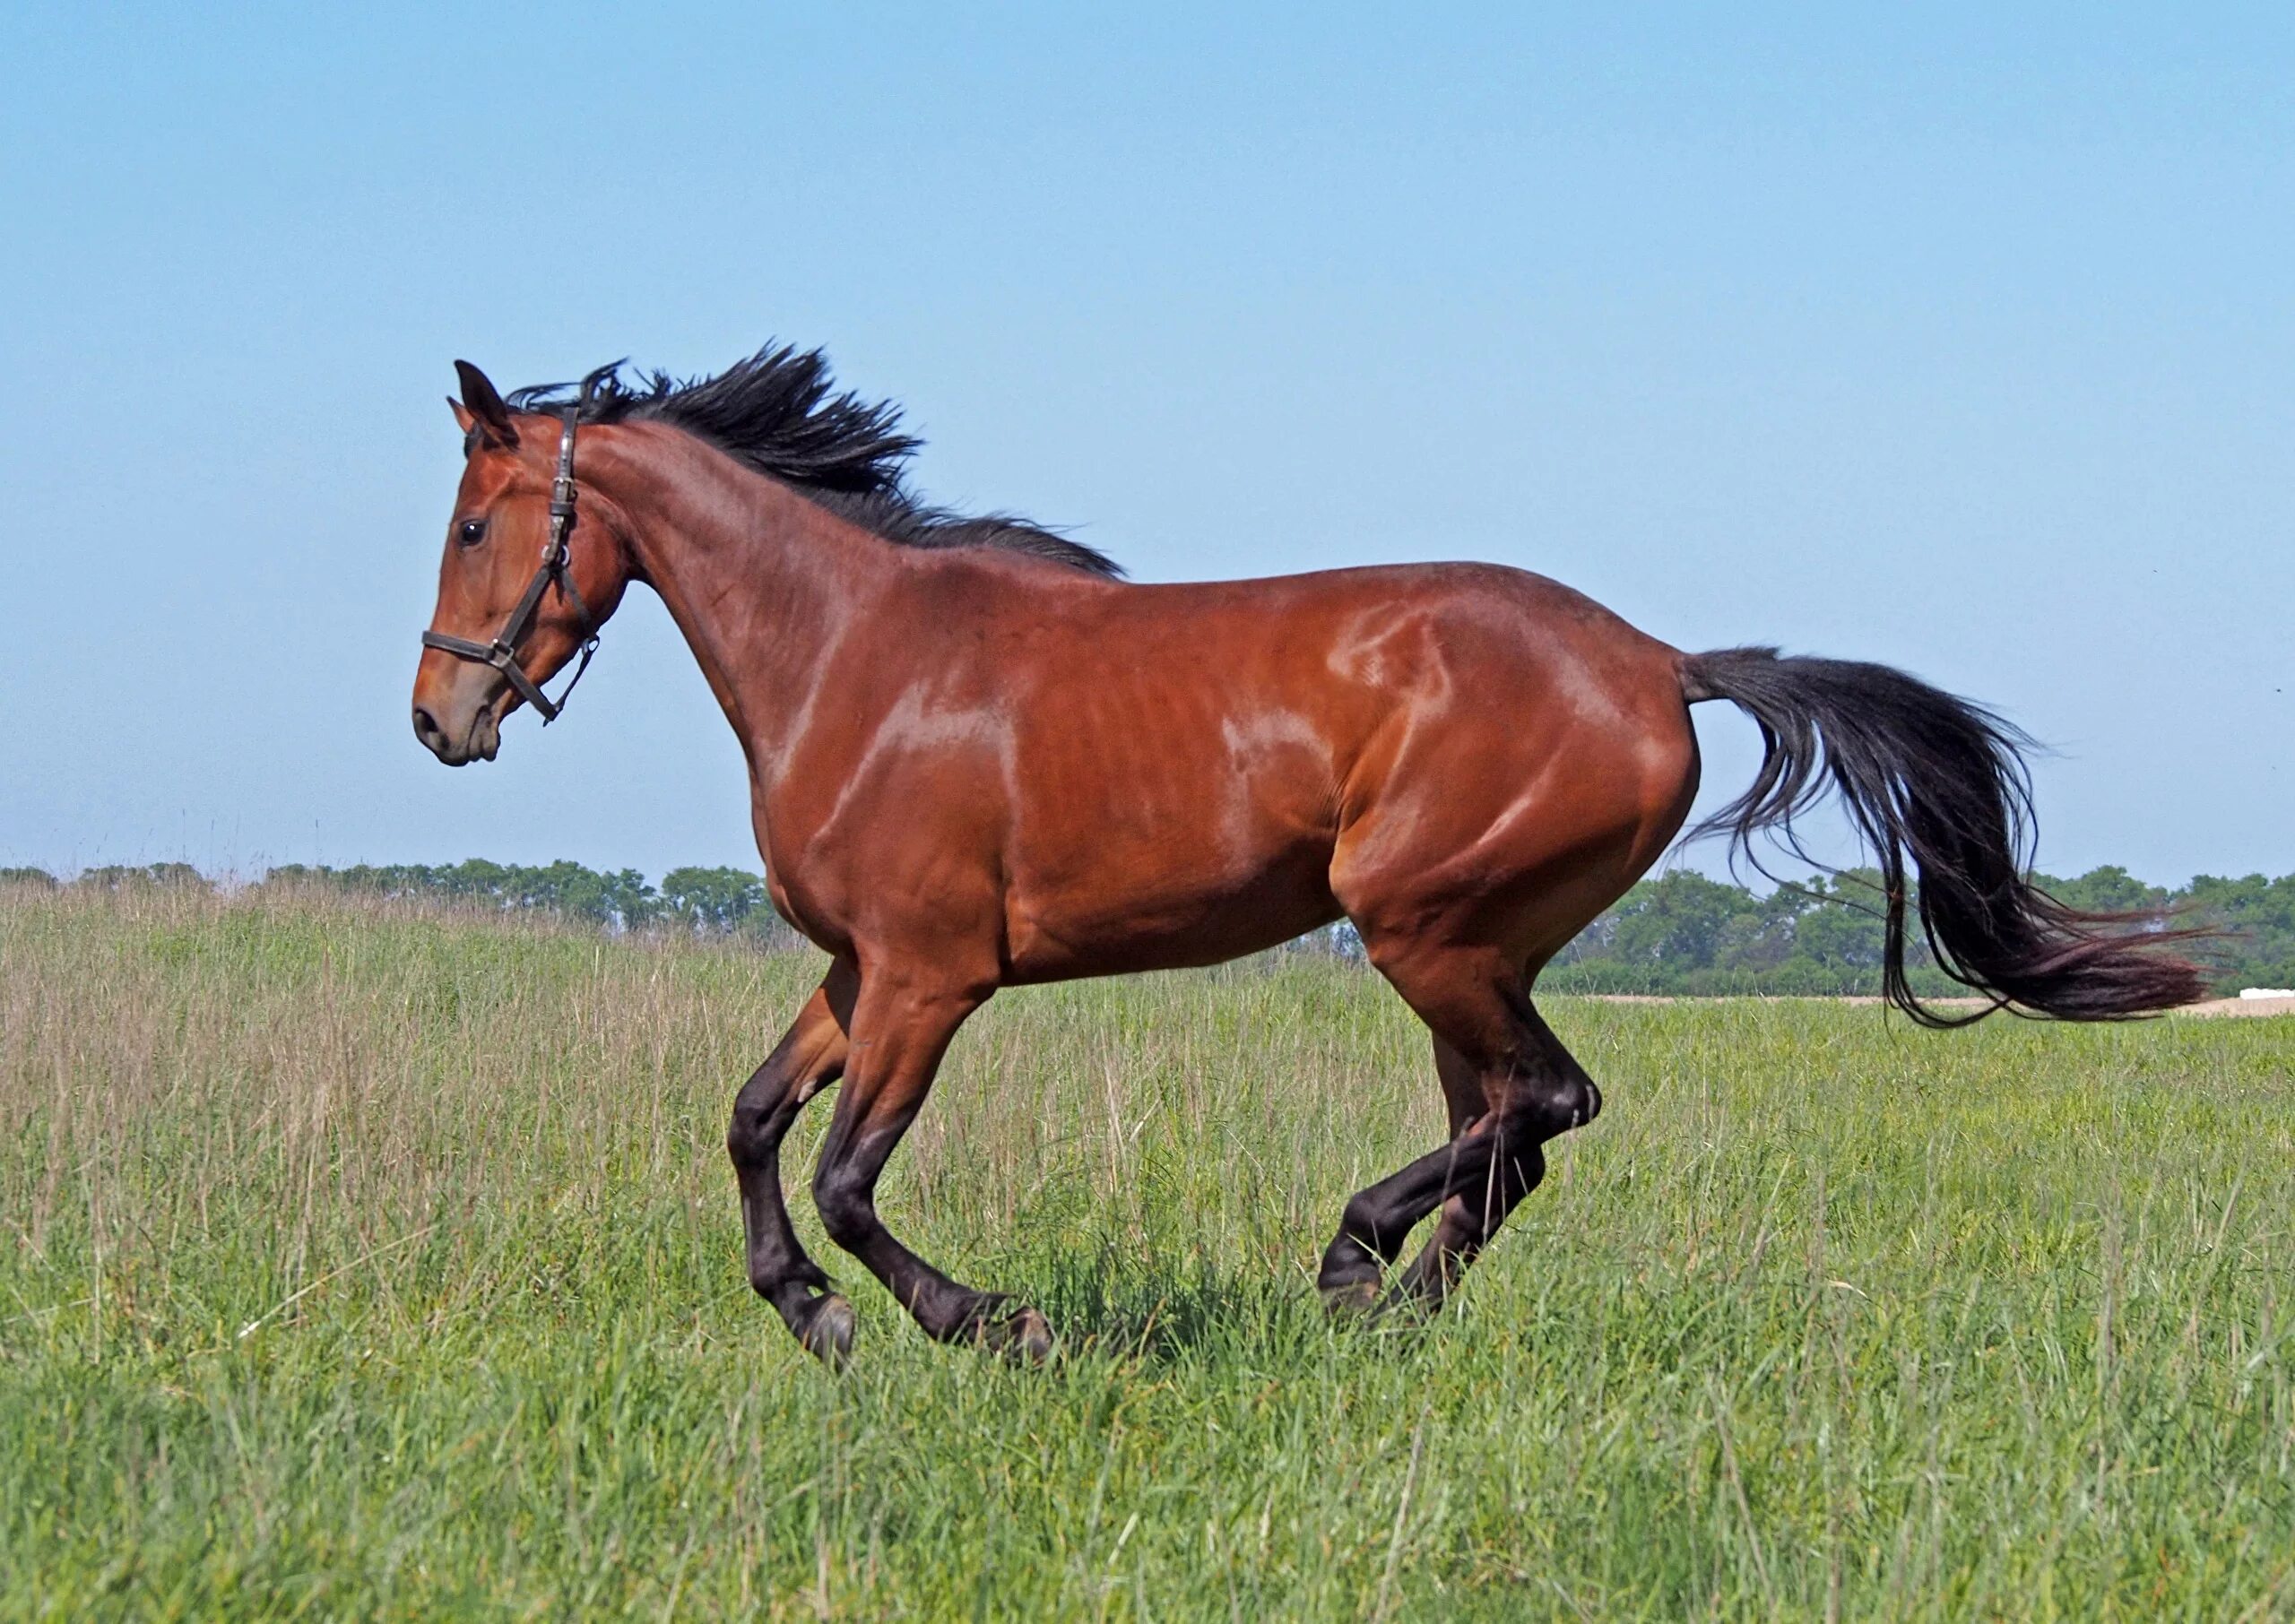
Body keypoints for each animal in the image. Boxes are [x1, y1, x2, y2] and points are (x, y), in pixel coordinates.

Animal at [412, 349, 2203, 1367]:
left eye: (474, 522)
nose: (440, 717)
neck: (858, 656)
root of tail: (1658, 663)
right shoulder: (859, 973)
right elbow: (750, 1124)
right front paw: (812, 1316)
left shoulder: (930, 978)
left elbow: (852, 1180)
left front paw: (990, 1325)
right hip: (1467, 951)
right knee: (1511, 1134)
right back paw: (1391, 1306)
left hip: (1422, 925)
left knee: (1544, 1108)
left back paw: (1355, 1266)